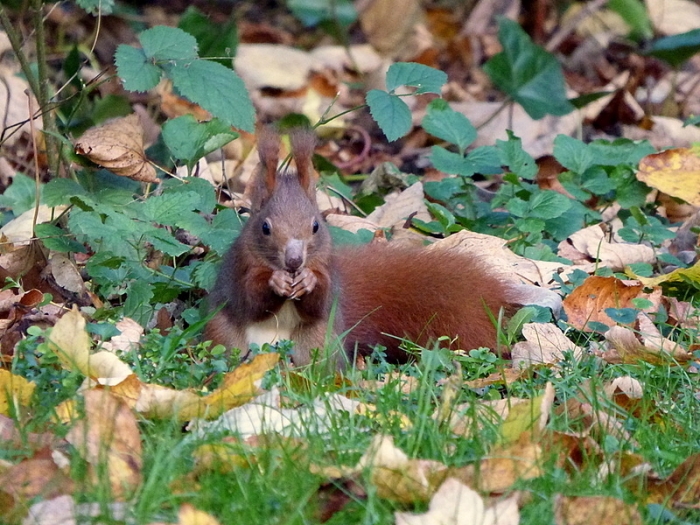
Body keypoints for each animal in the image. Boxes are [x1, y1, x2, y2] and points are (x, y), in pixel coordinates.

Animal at [204, 127, 511, 370]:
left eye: (315, 226)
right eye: (265, 227)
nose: (293, 261)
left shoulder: (326, 266)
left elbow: (320, 301)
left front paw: (309, 281)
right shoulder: (239, 267)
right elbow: (249, 300)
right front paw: (275, 280)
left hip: (318, 340)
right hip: (222, 334)